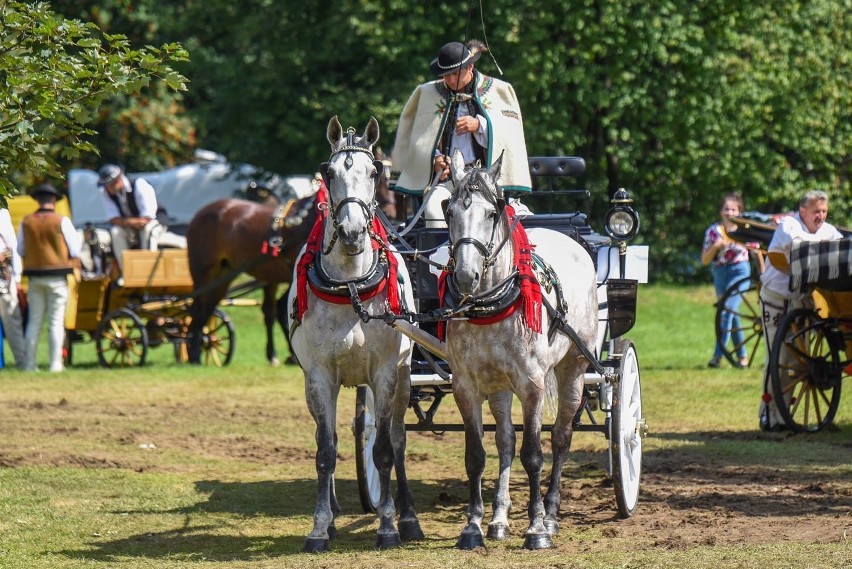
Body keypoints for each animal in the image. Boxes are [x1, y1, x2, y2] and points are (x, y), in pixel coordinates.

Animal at [186, 193, 316, 364]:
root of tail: (200, 212)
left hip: (223, 276)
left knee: (207, 310)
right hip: (203, 275)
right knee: (198, 311)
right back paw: (194, 355)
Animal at [286, 115, 422, 552]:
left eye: (375, 171)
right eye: (328, 173)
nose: (351, 232)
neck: (350, 287)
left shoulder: (384, 372)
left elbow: (383, 451)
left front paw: (388, 525)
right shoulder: (318, 376)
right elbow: (325, 451)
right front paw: (319, 527)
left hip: (403, 378)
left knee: (397, 438)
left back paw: (408, 517)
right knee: (325, 435)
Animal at [440, 149, 600, 548]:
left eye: (491, 213)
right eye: (449, 211)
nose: (465, 276)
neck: (490, 305)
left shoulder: (532, 385)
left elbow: (534, 454)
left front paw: (536, 528)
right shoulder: (465, 386)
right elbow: (477, 454)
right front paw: (473, 526)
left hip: (574, 366)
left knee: (560, 438)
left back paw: (552, 513)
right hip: (499, 386)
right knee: (505, 441)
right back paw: (499, 519)